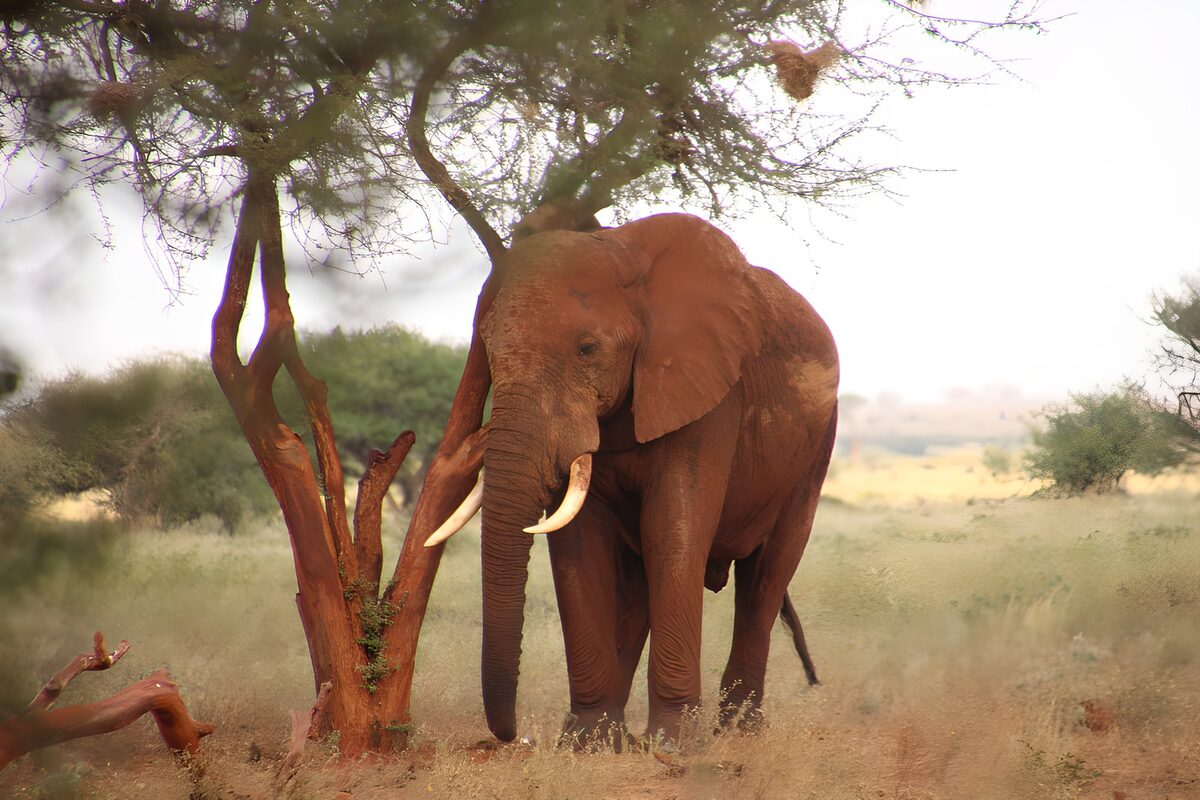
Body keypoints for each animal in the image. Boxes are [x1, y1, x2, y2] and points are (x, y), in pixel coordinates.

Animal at [427, 212, 839, 745]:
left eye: (587, 350)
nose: (510, 735)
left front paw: (674, 743)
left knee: (765, 578)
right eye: (490, 353)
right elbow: (578, 542)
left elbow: (672, 528)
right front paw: (588, 743)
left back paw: (739, 733)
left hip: (815, 450)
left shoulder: (708, 389)